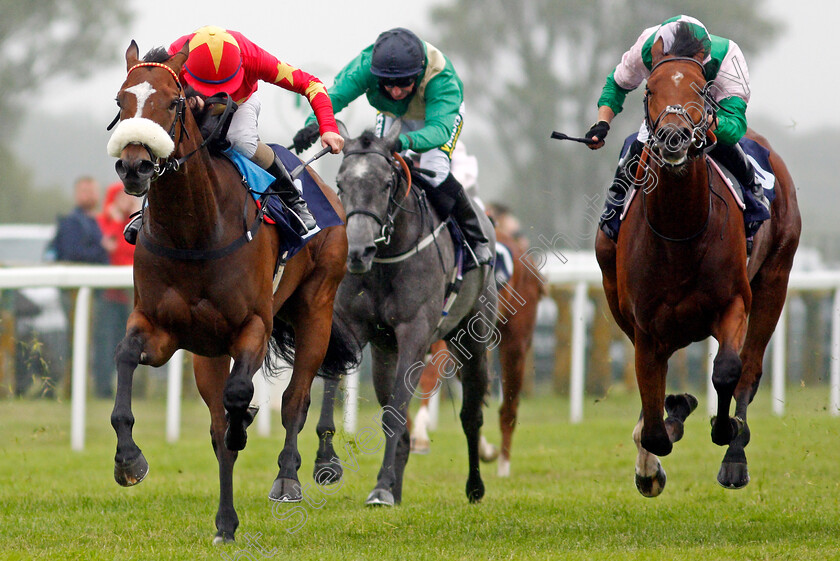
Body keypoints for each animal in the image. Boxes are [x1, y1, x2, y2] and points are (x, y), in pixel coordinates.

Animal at [108, 41, 354, 540]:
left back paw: (287, 478)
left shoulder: (253, 325)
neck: (194, 230)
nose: (134, 165)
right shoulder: (160, 328)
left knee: (295, 400)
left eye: (173, 103)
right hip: (208, 351)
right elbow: (125, 358)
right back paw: (225, 521)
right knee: (218, 429)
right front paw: (129, 460)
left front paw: (247, 423)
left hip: (316, 307)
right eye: (121, 101)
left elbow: (242, 396)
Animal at [314, 121, 498, 504]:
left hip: (472, 339)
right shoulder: (351, 326)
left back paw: (474, 486)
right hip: (386, 350)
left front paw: (382, 486)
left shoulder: (415, 332)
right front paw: (327, 463)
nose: (357, 251)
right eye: (340, 183)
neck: (385, 259)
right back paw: (395, 487)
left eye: (386, 183)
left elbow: (397, 414)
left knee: (471, 415)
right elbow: (335, 384)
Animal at [592, 42, 804, 494]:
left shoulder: (733, 302)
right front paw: (662, 437)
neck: (679, 233)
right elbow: (653, 419)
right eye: (650, 90)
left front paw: (723, 430)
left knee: (750, 370)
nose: (673, 137)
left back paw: (735, 458)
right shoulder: (644, 325)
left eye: (700, 90)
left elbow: (727, 371)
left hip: (775, 280)